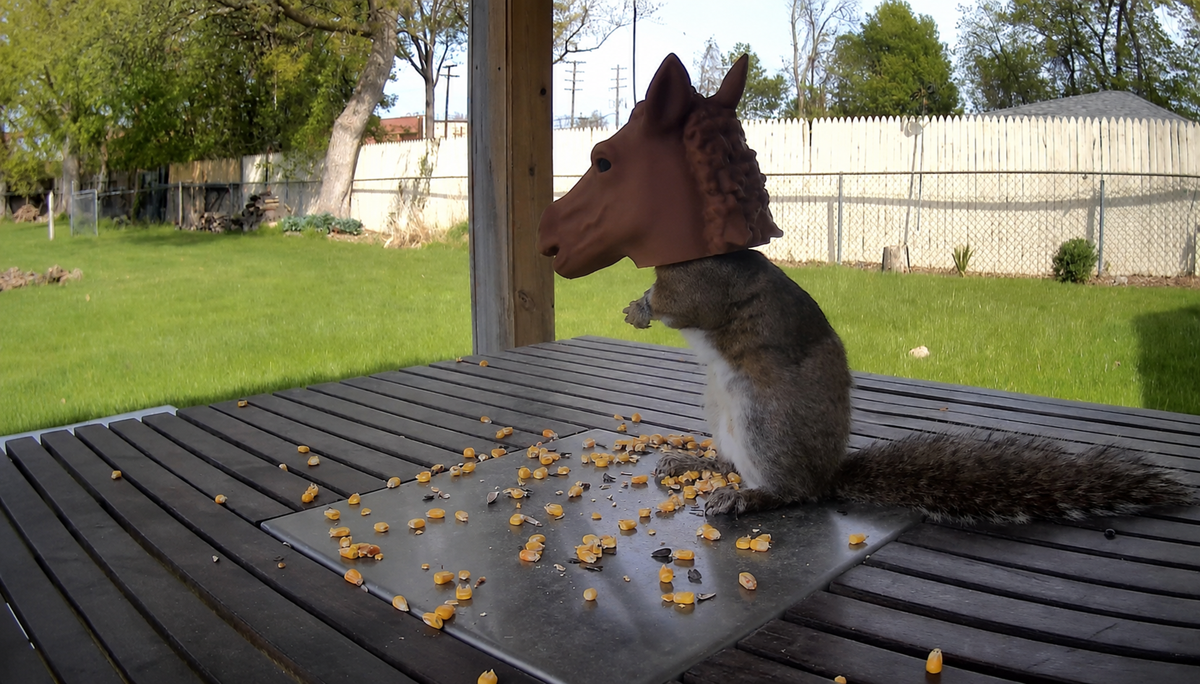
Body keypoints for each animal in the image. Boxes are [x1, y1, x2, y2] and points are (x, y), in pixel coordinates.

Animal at [623, 249, 1194, 522]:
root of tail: (828, 470)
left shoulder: (705, 284)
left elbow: (680, 303)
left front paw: (642, 306)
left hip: (765, 420)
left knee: (797, 492)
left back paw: (749, 498)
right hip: (723, 413)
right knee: (733, 462)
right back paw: (696, 463)